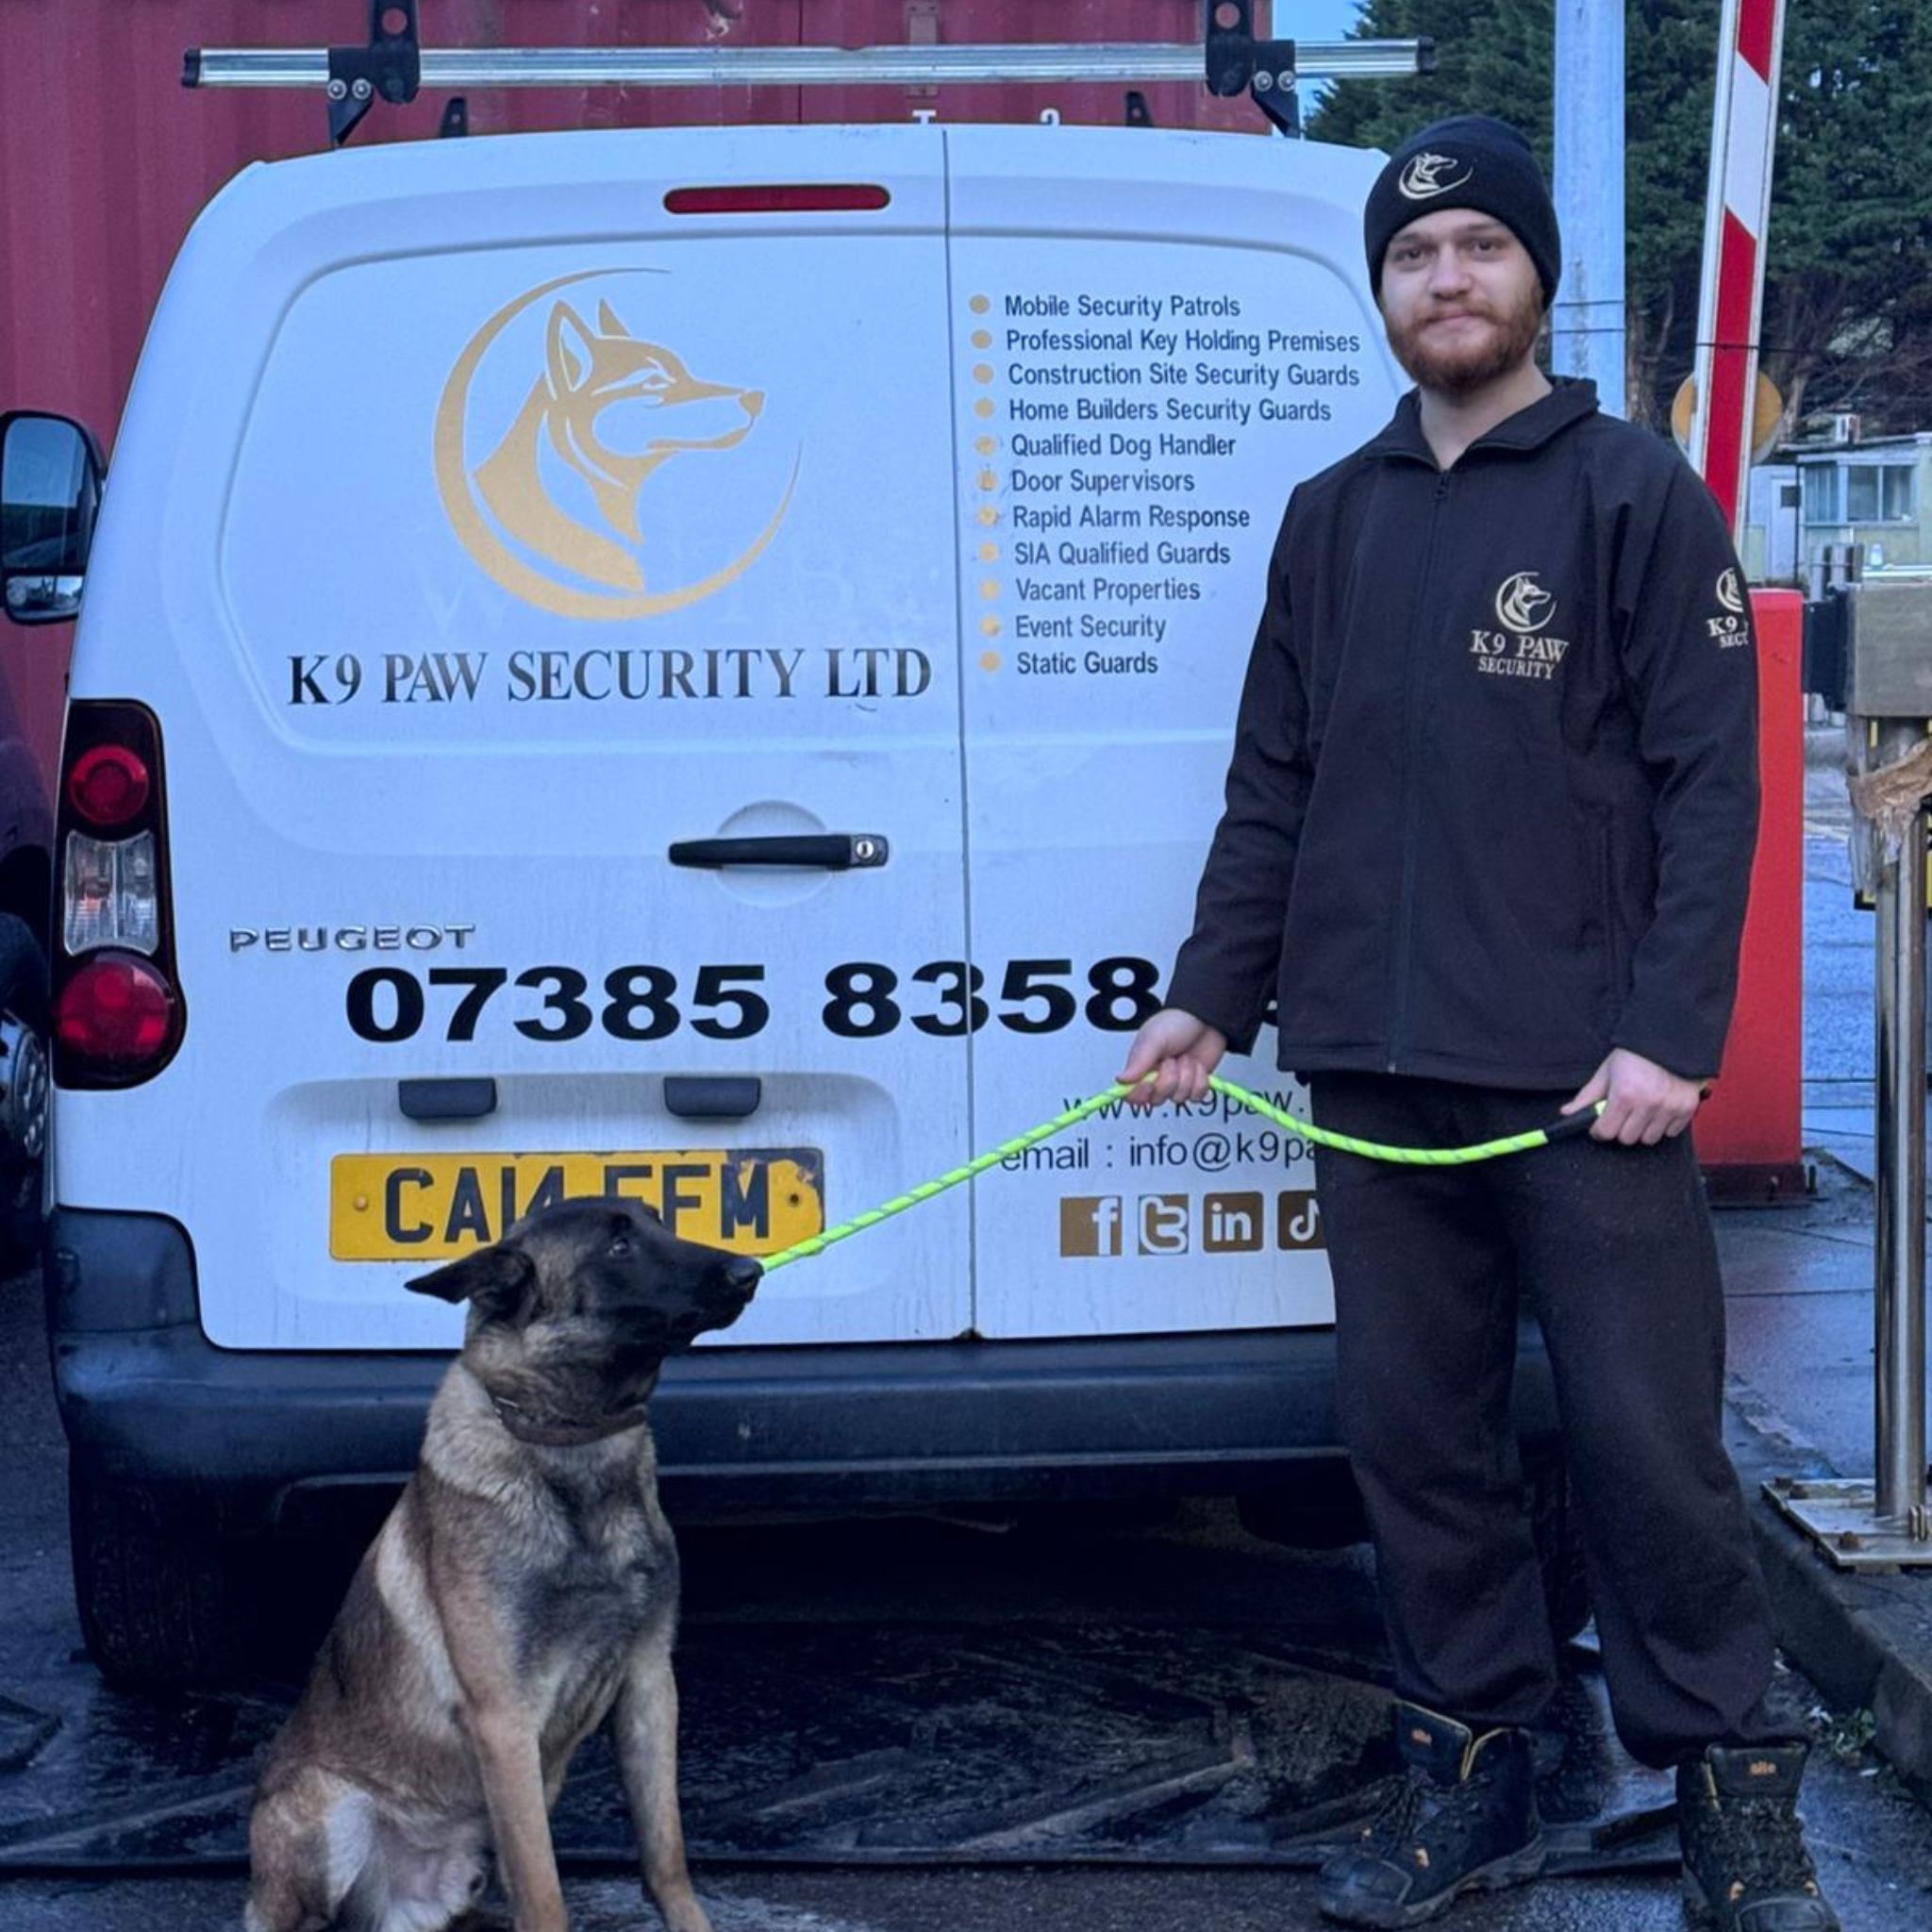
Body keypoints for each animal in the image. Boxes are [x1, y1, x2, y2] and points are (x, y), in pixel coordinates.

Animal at [245, 1197, 760, 1932]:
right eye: (619, 1247)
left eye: (658, 1222)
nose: (751, 1270)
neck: (570, 1445)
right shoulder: (506, 1720)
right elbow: (544, 1893)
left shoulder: (649, 1686)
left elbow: (667, 1855)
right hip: (325, 1814)